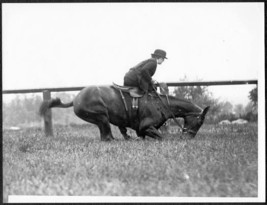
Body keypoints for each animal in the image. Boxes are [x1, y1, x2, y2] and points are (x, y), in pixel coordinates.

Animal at [38, 85, 210, 141]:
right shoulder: (145, 127)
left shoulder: (144, 131)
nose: (189, 137)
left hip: (101, 119)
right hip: (102, 116)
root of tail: (75, 99)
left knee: (105, 134)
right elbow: (162, 137)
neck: (162, 105)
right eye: (200, 121)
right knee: (106, 134)